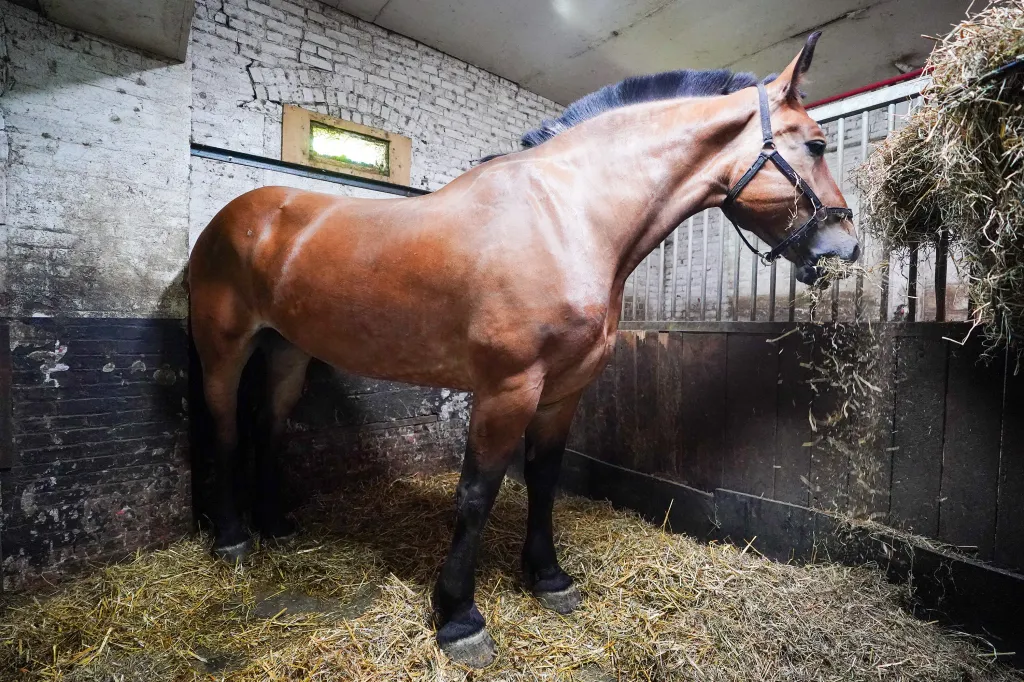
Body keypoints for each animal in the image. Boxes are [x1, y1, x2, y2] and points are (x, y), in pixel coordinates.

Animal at [187, 31, 858, 667]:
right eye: (817, 145)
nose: (846, 245)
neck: (567, 218)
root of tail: (233, 217)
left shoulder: (563, 390)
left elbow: (542, 478)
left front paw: (548, 578)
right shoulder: (507, 388)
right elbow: (477, 492)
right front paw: (458, 617)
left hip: (286, 351)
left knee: (268, 426)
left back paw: (275, 526)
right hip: (223, 350)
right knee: (224, 428)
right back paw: (233, 538)